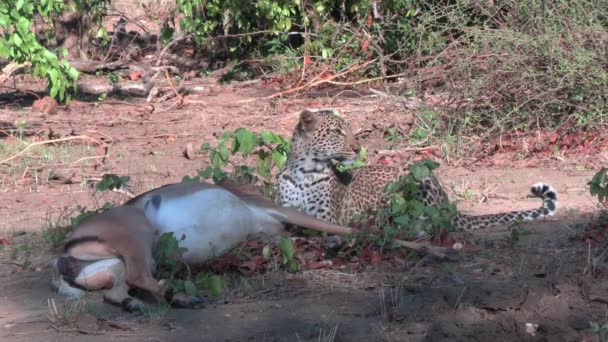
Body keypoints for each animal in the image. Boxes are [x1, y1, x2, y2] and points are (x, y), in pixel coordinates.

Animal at [278, 108, 560, 231]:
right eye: (337, 132)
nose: (359, 149)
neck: (304, 171)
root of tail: (448, 203)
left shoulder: (327, 219)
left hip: (414, 172)